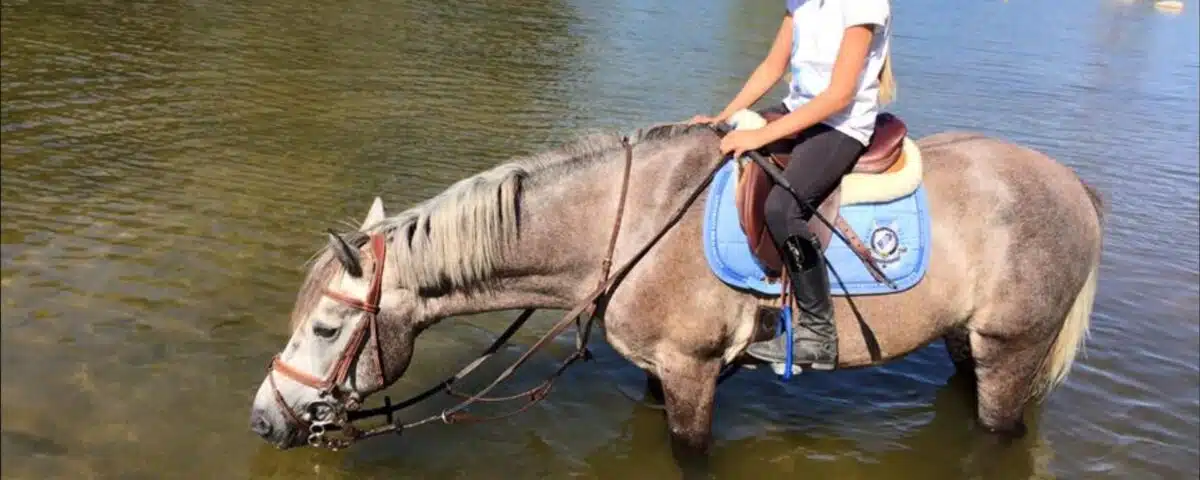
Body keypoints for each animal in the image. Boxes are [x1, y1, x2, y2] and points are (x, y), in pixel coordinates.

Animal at [246, 111, 1104, 460]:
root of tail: (1073, 187)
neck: (621, 225)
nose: (263, 418)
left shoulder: (693, 375)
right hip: (970, 347)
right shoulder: (662, 376)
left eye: (326, 329)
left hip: (1010, 350)